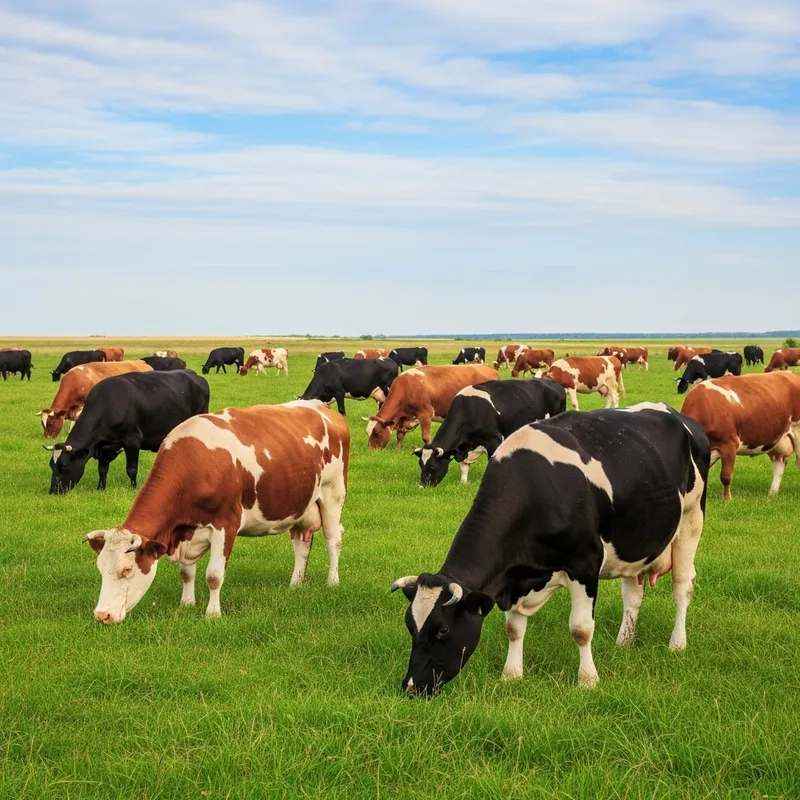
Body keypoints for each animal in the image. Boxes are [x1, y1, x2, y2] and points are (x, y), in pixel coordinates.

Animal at [45, 370, 210, 494]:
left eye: (63, 466)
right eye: (51, 466)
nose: (53, 491)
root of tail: (195, 375)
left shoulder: (133, 440)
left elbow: (131, 469)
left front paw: (134, 488)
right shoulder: (104, 447)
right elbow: (102, 470)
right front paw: (100, 488)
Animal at [81, 400, 350, 624]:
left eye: (126, 569)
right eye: (100, 567)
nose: (102, 615)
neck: (195, 464)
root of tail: (321, 407)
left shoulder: (225, 524)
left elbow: (214, 575)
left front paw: (212, 614)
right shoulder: (186, 531)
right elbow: (186, 572)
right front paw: (187, 603)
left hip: (333, 493)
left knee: (333, 539)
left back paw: (333, 581)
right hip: (300, 505)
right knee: (301, 544)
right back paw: (295, 584)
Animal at [366, 364, 498, 450]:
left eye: (377, 432)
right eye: (368, 432)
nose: (371, 451)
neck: (407, 387)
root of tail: (488, 367)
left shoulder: (425, 414)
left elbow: (426, 437)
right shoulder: (403, 419)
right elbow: (400, 435)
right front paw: (398, 451)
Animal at [392, 403, 710, 695]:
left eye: (442, 630)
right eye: (410, 626)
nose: (410, 686)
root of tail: (678, 416)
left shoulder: (585, 563)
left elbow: (581, 628)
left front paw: (588, 680)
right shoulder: (515, 576)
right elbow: (513, 629)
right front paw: (511, 674)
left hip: (691, 519)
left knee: (682, 585)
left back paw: (677, 643)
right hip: (634, 543)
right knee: (633, 594)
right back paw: (624, 643)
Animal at [414, 378, 567, 487]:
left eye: (432, 466)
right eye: (421, 465)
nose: (422, 486)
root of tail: (552, 381)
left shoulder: (494, 440)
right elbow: (464, 467)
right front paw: (463, 484)